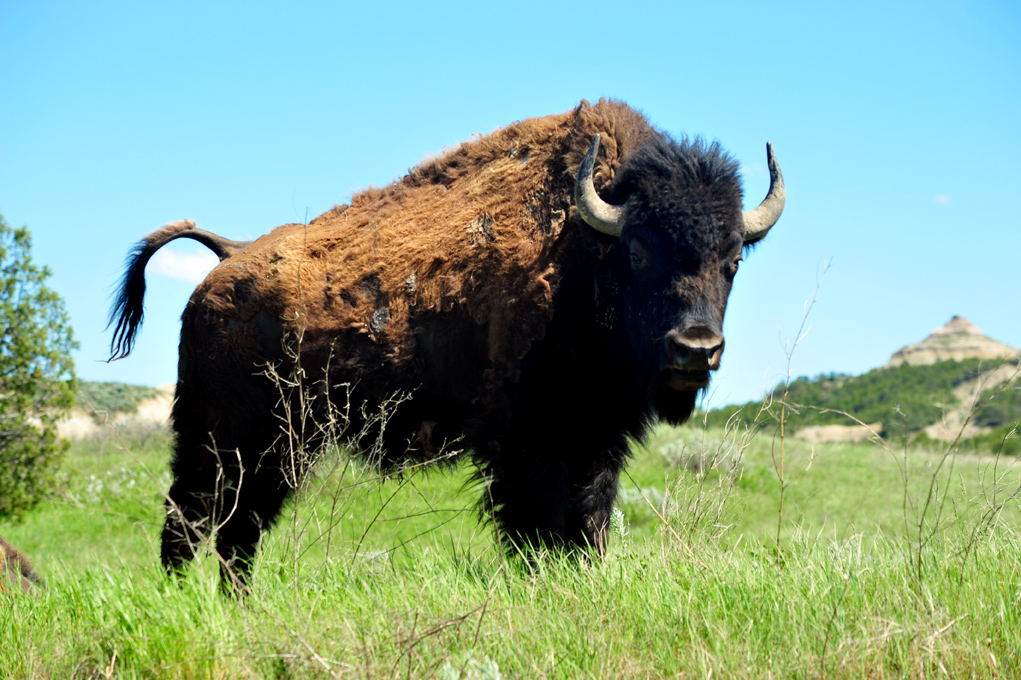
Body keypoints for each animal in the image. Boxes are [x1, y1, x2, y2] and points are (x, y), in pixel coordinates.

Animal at [109, 99, 783, 587]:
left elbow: (588, 522)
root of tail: (225, 264)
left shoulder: (597, 437)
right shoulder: (527, 442)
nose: (696, 348)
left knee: (237, 531)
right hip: (218, 436)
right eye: (639, 250)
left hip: (280, 449)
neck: (586, 251)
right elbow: (539, 524)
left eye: (732, 261)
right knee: (190, 517)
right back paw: (180, 599)